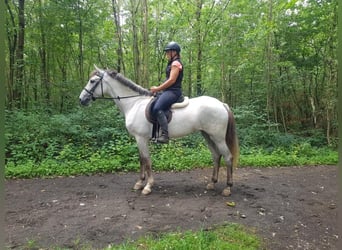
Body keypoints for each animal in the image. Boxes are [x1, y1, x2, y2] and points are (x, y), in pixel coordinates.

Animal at [79, 65, 239, 196]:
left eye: (92, 81)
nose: (81, 99)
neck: (134, 103)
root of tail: (221, 104)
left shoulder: (141, 138)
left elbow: (146, 160)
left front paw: (147, 186)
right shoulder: (138, 139)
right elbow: (141, 159)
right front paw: (139, 183)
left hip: (218, 137)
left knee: (227, 157)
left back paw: (228, 188)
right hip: (207, 135)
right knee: (216, 155)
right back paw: (212, 183)